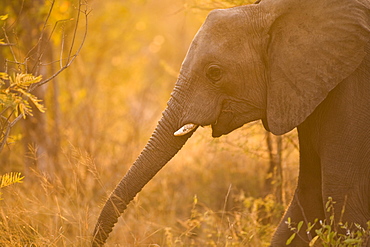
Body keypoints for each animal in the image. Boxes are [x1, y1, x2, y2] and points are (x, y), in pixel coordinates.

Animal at [92, 0, 370, 245]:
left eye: (214, 73)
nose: (95, 240)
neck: (273, 12)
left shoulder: (353, 92)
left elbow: (342, 205)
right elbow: (306, 201)